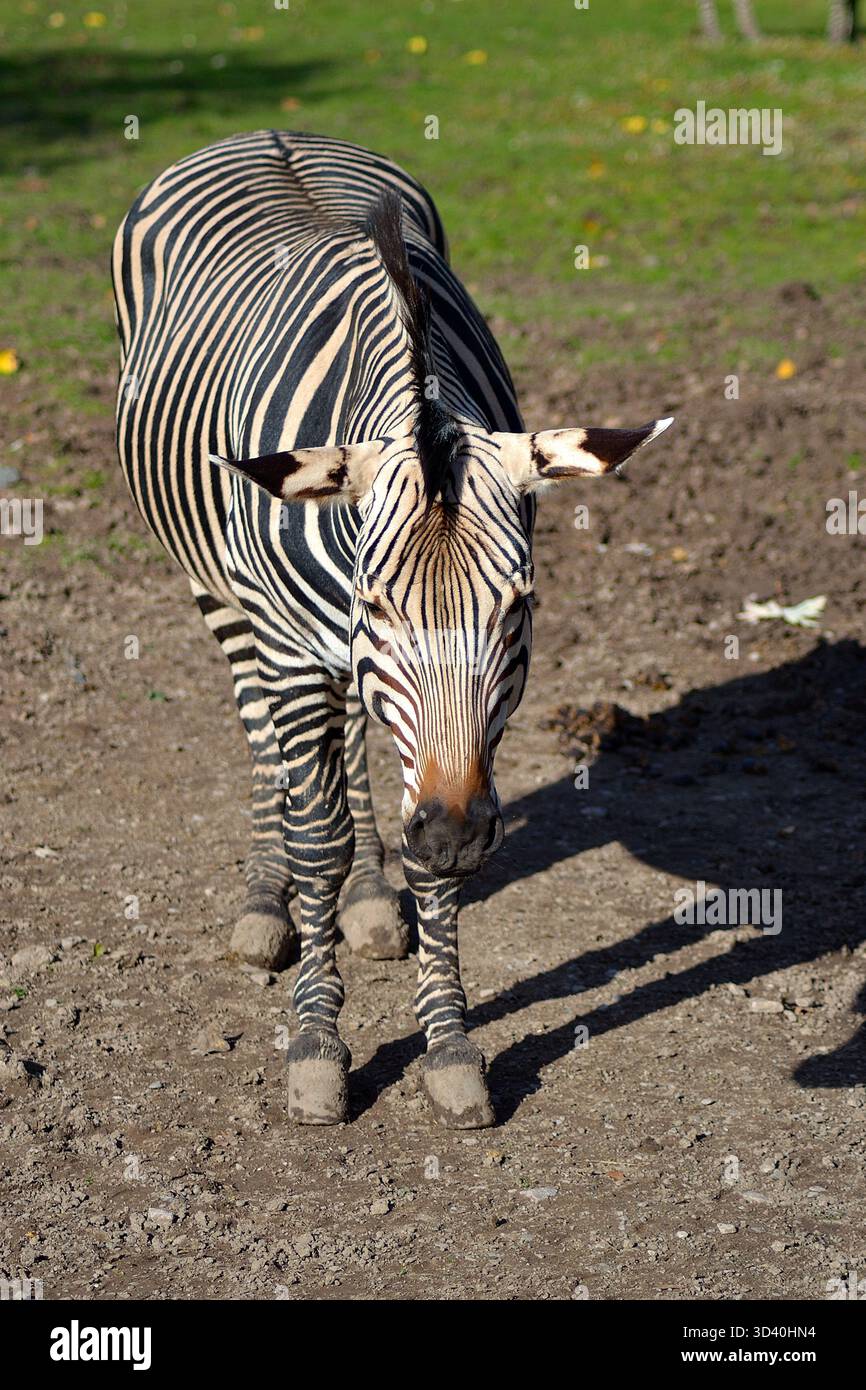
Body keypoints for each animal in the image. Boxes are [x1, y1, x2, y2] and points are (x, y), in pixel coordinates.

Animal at [113, 130, 672, 1128]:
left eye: (518, 607)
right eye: (378, 605)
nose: (449, 832)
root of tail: (270, 134)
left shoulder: (471, 733)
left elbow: (425, 852)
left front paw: (449, 1045)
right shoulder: (300, 645)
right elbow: (318, 837)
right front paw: (315, 1044)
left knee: (352, 747)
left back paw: (371, 899)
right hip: (223, 597)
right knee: (268, 743)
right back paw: (268, 902)